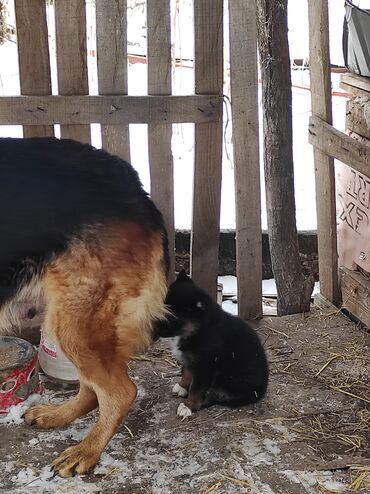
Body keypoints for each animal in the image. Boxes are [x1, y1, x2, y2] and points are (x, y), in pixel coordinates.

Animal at [0, 137, 169, 476]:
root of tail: (137, 190)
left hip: (73, 322)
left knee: (120, 392)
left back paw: (87, 451)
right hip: (65, 318)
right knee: (94, 388)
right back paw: (59, 415)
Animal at [156, 270, 268, 416]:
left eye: (171, 316)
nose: (153, 328)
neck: (200, 328)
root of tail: (261, 391)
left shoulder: (205, 366)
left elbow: (196, 389)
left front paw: (188, 406)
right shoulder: (191, 360)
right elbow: (187, 373)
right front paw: (182, 387)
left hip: (232, 383)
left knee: (214, 397)